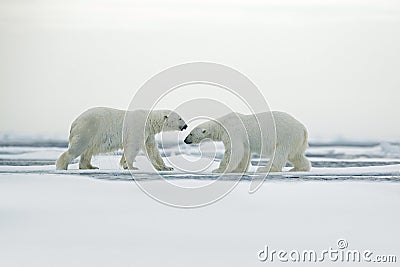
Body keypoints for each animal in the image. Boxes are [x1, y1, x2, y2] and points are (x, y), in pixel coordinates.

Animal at [55, 108, 188, 171]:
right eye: (180, 118)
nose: (186, 126)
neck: (149, 121)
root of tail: (74, 122)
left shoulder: (149, 133)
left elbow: (153, 149)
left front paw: (166, 167)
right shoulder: (138, 129)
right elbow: (134, 147)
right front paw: (133, 167)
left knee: (88, 151)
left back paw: (90, 166)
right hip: (88, 128)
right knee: (78, 147)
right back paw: (62, 166)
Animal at [184, 111, 312, 173]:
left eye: (190, 134)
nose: (185, 140)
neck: (222, 125)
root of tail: (303, 128)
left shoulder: (233, 131)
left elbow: (234, 151)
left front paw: (219, 170)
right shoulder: (244, 141)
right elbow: (244, 153)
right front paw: (238, 170)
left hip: (286, 136)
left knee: (279, 153)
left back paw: (265, 169)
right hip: (296, 141)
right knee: (295, 155)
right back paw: (299, 168)